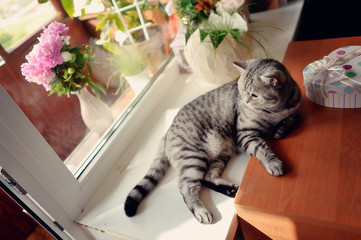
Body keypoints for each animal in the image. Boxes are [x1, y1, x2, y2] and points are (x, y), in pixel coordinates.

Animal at [124, 58, 300, 223]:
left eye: (254, 95)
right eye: (242, 90)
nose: (244, 101)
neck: (275, 110)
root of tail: (166, 132)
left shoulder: (293, 111)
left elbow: (291, 119)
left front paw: (280, 130)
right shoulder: (245, 133)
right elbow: (262, 149)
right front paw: (274, 163)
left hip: (219, 155)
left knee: (207, 177)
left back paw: (229, 190)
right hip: (194, 158)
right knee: (186, 187)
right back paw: (201, 211)